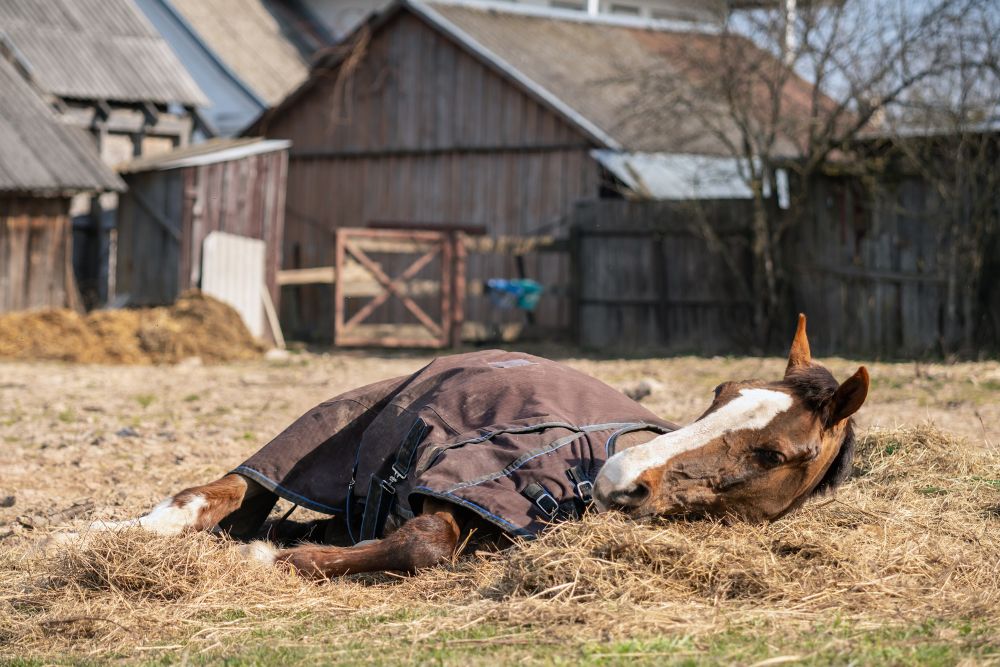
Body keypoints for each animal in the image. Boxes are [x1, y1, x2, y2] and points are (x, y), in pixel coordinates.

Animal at [65, 315, 868, 579]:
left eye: (774, 455)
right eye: (721, 390)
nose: (619, 476)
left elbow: (417, 542)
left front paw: (280, 553)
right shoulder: (461, 480)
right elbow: (425, 541)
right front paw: (276, 558)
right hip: (318, 434)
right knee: (216, 494)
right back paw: (93, 534)